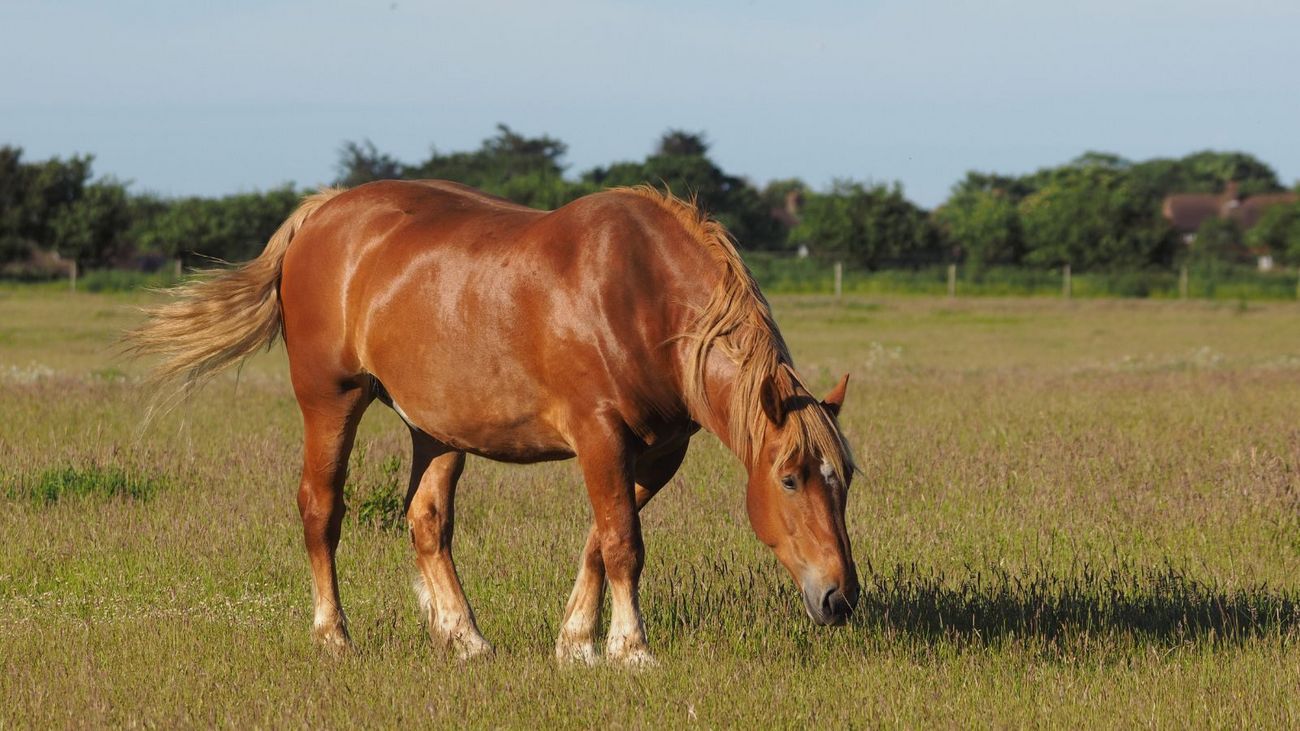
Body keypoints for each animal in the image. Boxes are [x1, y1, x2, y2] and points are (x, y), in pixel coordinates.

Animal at [127, 180, 859, 666]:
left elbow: (599, 540)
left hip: (438, 430)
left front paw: (574, 642)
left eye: (845, 478)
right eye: (790, 478)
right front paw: (629, 648)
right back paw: (334, 634)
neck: (642, 296)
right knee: (320, 508)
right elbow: (624, 543)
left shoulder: (656, 452)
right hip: (331, 399)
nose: (840, 598)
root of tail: (321, 212)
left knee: (426, 521)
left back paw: (464, 636)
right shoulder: (599, 436)